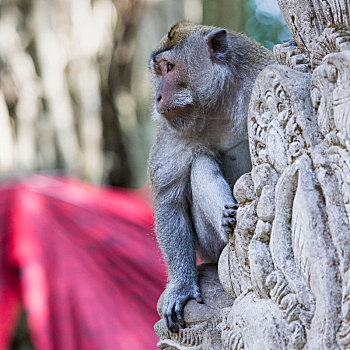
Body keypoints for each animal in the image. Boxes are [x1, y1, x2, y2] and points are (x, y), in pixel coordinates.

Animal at [148, 22, 276, 334]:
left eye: (170, 68)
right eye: (159, 70)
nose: (158, 97)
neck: (218, 104)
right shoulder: (173, 129)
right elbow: (169, 199)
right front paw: (181, 286)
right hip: (210, 248)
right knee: (201, 162)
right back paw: (227, 219)